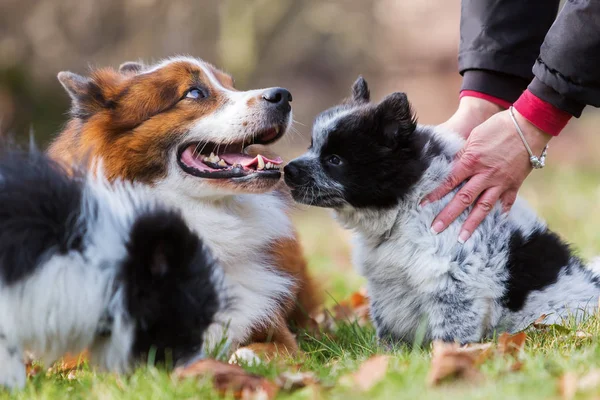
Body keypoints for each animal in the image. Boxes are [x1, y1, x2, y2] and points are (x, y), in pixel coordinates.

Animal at [284, 77, 600, 344]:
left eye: (334, 160)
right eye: (312, 147)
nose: (287, 170)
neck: (407, 208)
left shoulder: (454, 280)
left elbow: (452, 330)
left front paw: (446, 356)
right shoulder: (388, 284)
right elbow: (386, 323)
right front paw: (389, 354)